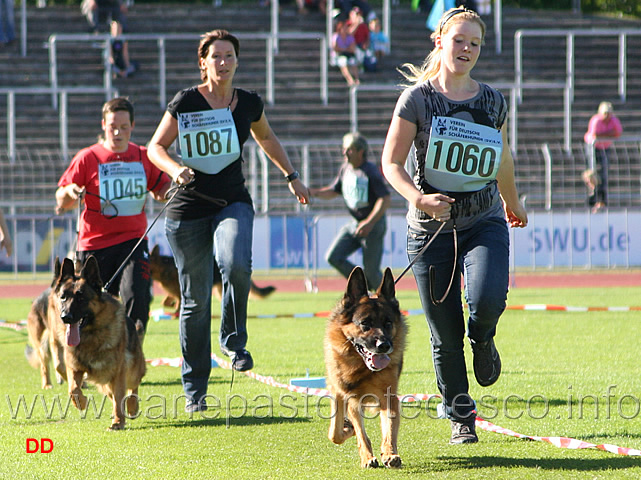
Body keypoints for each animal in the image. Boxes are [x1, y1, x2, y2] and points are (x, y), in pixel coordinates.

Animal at [25, 256, 146, 430]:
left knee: (132, 387)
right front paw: (81, 403)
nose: (65, 317)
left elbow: (120, 396)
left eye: (81, 298)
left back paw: (132, 406)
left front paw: (118, 422)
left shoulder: (118, 371)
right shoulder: (75, 367)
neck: (90, 335)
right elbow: (73, 389)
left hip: (132, 370)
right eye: (63, 297)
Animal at [322, 266, 408, 468]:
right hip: (337, 390)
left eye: (388, 323)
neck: (363, 368)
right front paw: (367, 457)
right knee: (335, 431)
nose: (384, 346)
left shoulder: (388, 397)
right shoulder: (352, 398)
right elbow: (360, 433)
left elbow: (389, 429)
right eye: (365, 324)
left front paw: (389, 453)